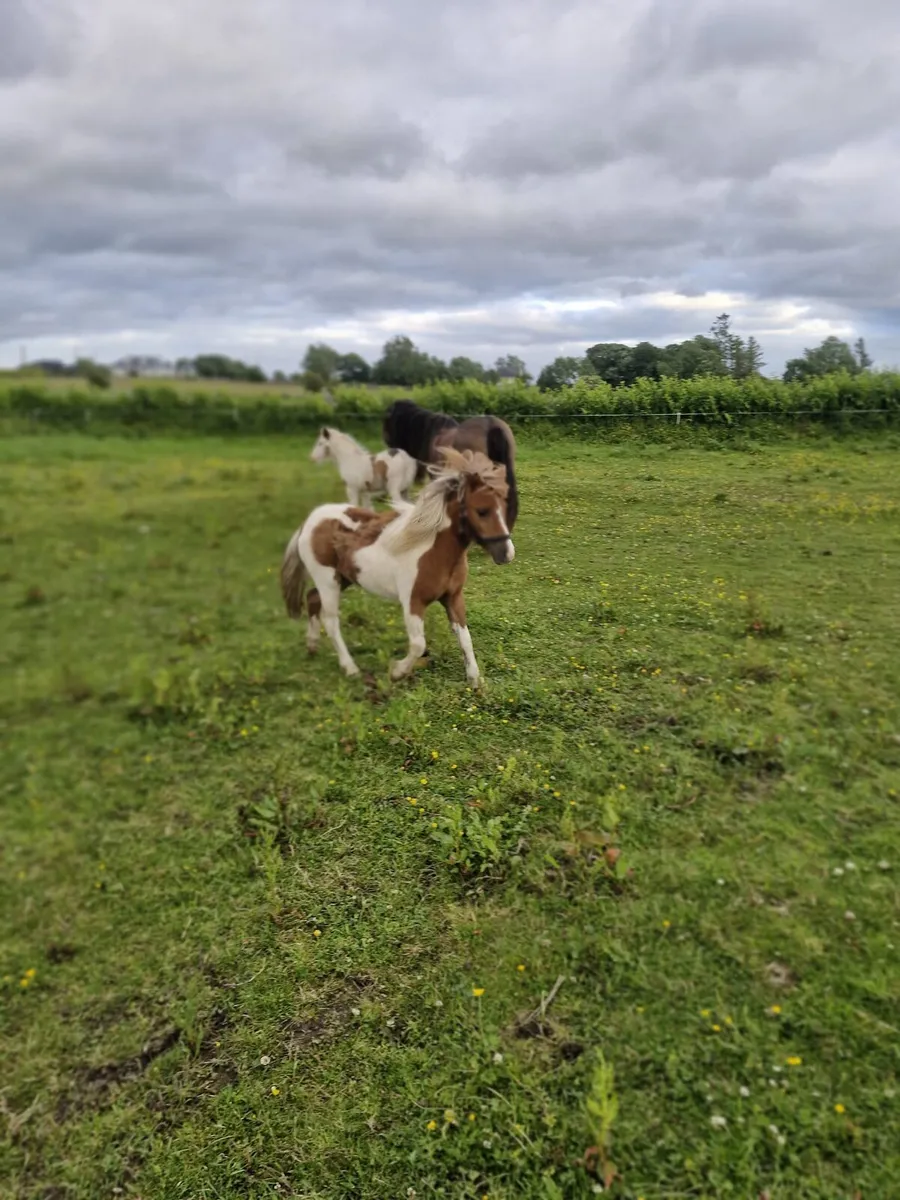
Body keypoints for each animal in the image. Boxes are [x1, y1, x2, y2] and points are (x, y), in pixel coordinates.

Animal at [280, 448, 514, 687]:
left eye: (505, 507)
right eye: (482, 511)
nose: (506, 553)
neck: (432, 549)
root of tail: (310, 521)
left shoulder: (453, 597)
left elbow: (465, 637)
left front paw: (476, 682)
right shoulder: (413, 602)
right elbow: (418, 644)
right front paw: (397, 672)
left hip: (342, 578)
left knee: (312, 598)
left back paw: (312, 646)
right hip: (327, 580)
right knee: (330, 620)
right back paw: (350, 668)